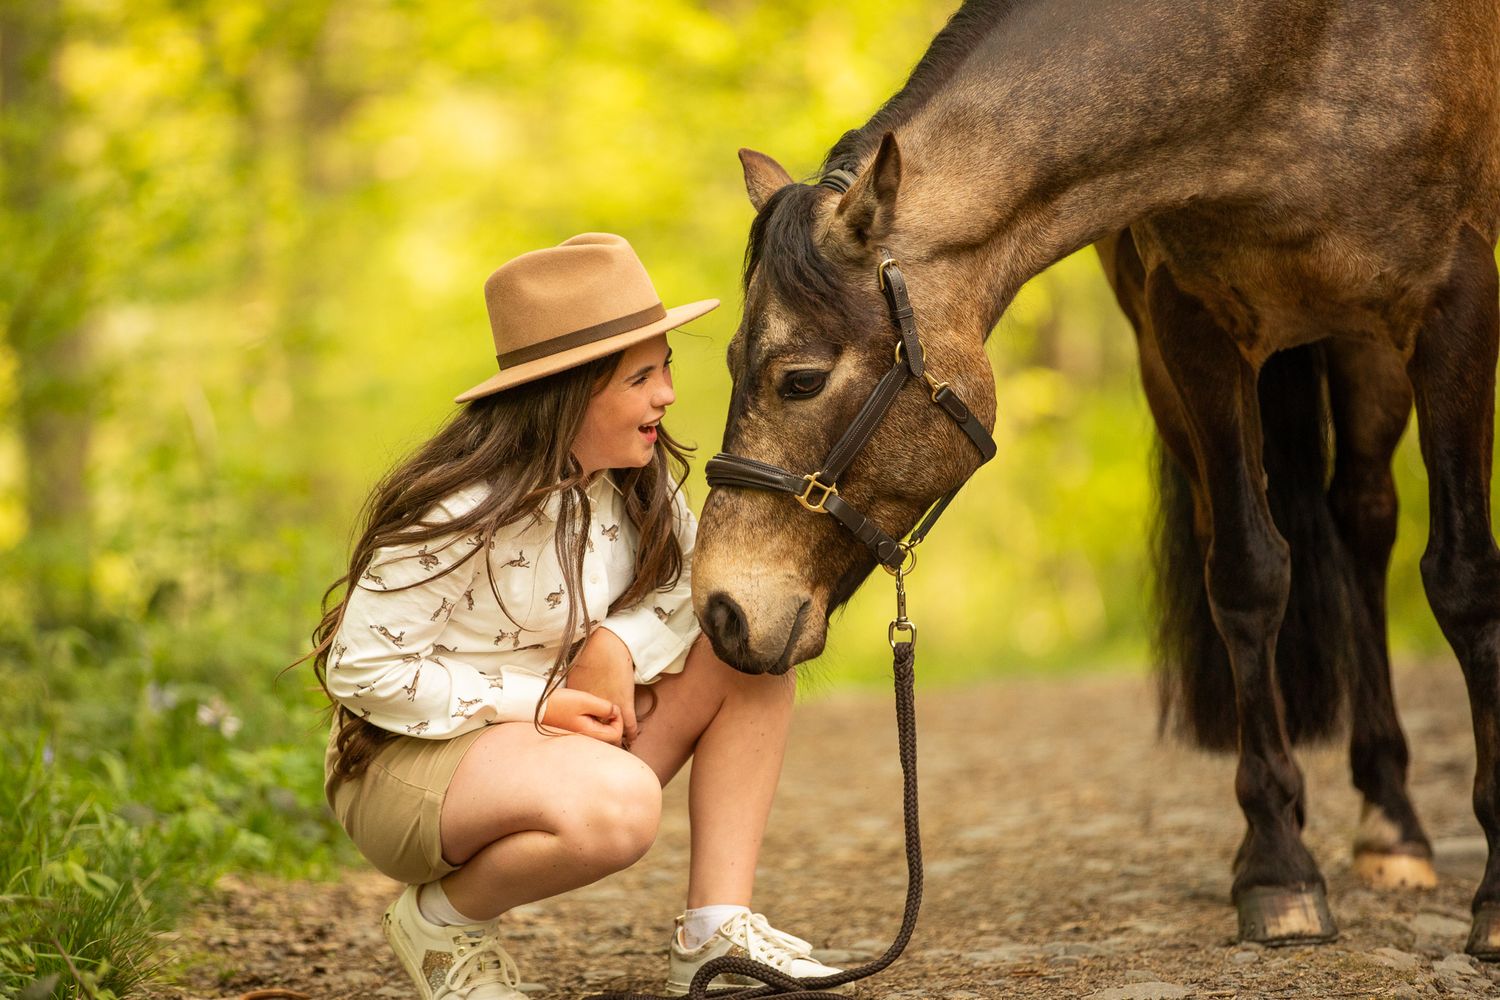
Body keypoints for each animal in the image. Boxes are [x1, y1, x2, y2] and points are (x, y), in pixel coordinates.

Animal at [689, 0, 1500, 957]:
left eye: (801, 379)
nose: (721, 609)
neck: (1288, 55)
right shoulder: (1188, 321)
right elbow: (1248, 577)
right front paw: (1277, 870)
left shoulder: (1458, 302)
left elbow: (1464, 582)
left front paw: (1491, 899)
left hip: (1367, 343)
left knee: (1365, 518)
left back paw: (1394, 825)